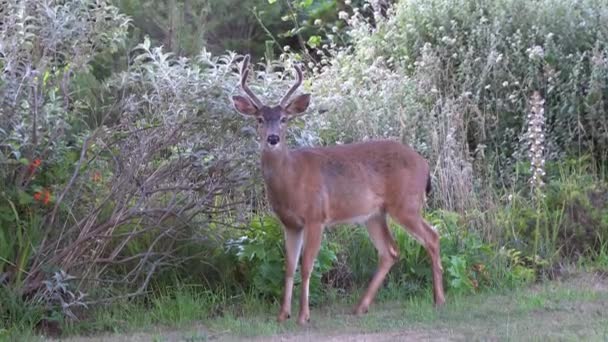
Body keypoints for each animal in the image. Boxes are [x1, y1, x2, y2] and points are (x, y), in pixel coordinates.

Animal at [230, 54, 444, 324]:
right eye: (259, 119)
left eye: (284, 119)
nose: (273, 138)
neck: (291, 179)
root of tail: (424, 164)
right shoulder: (289, 223)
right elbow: (288, 267)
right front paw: (282, 314)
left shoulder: (316, 217)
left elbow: (307, 266)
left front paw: (303, 316)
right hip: (374, 214)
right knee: (390, 251)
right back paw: (360, 307)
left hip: (406, 204)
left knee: (432, 236)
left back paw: (439, 300)